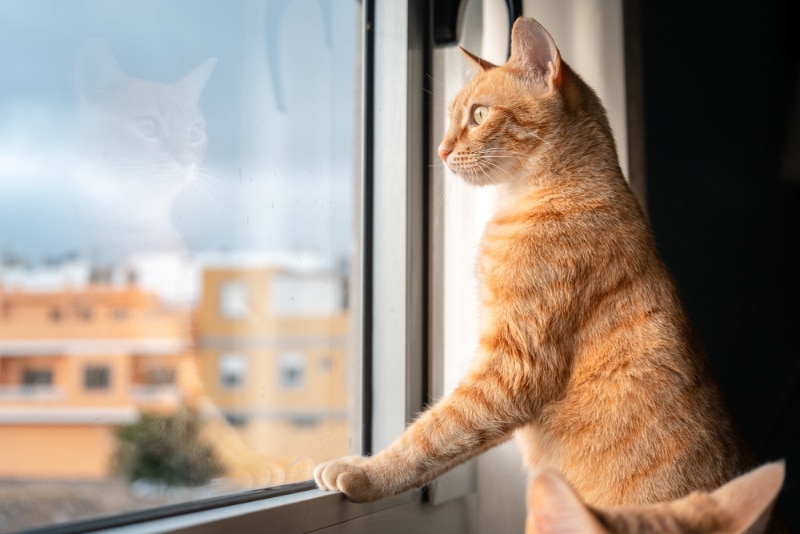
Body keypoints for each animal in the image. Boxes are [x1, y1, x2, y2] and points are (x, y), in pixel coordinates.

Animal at [312, 14, 752, 510]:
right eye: (450, 119)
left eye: (478, 115)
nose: (441, 152)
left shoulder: (512, 367)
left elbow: (432, 433)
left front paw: (363, 471)